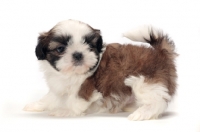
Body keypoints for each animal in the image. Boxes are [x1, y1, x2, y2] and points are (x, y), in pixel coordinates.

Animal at [23, 19, 177, 120]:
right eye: (60, 49)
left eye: (89, 46)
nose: (78, 54)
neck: (71, 74)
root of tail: (161, 53)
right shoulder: (59, 86)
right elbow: (50, 97)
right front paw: (36, 105)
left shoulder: (86, 87)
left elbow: (76, 101)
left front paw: (65, 111)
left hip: (146, 82)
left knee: (157, 101)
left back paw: (143, 113)